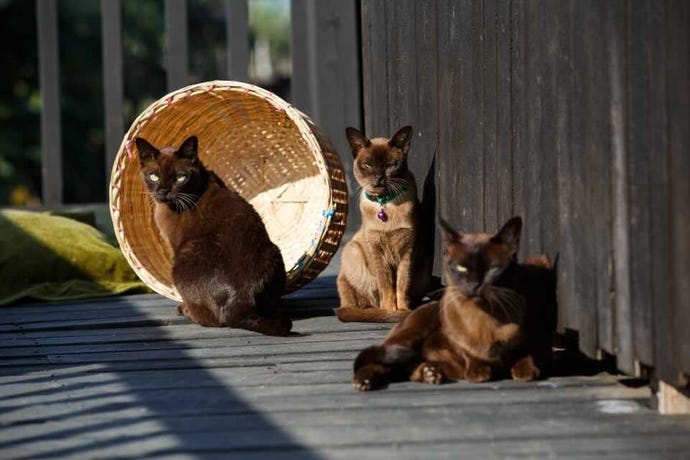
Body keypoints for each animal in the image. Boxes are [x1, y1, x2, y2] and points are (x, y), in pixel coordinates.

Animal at [136, 135, 292, 336]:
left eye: (180, 177)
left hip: (183, 256)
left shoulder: (173, 245)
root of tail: (240, 298)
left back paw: (184, 309)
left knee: (213, 320)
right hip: (273, 253)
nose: (163, 191)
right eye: (153, 176)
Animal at [334, 124, 428, 322]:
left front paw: (402, 310)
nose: (378, 178)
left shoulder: (408, 250)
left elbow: (401, 284)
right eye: (368, 165)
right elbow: (386, 286)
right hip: (353, 250)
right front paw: (391, 311)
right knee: (362, 304)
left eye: (390, 165)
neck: (385, 203)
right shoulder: (377, 250)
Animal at [350, 216, 552, 388]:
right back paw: (365, 381)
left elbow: (525, 354)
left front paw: (525, 372)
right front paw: (479, 372)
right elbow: (470, 354)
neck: (487, 318)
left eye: (492, 268)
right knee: (380, 361)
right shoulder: (461, 344)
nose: (475, 284)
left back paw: (431, 373)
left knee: (405, 369)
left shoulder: (529, 338)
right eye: (461, 268)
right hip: (410, 334)